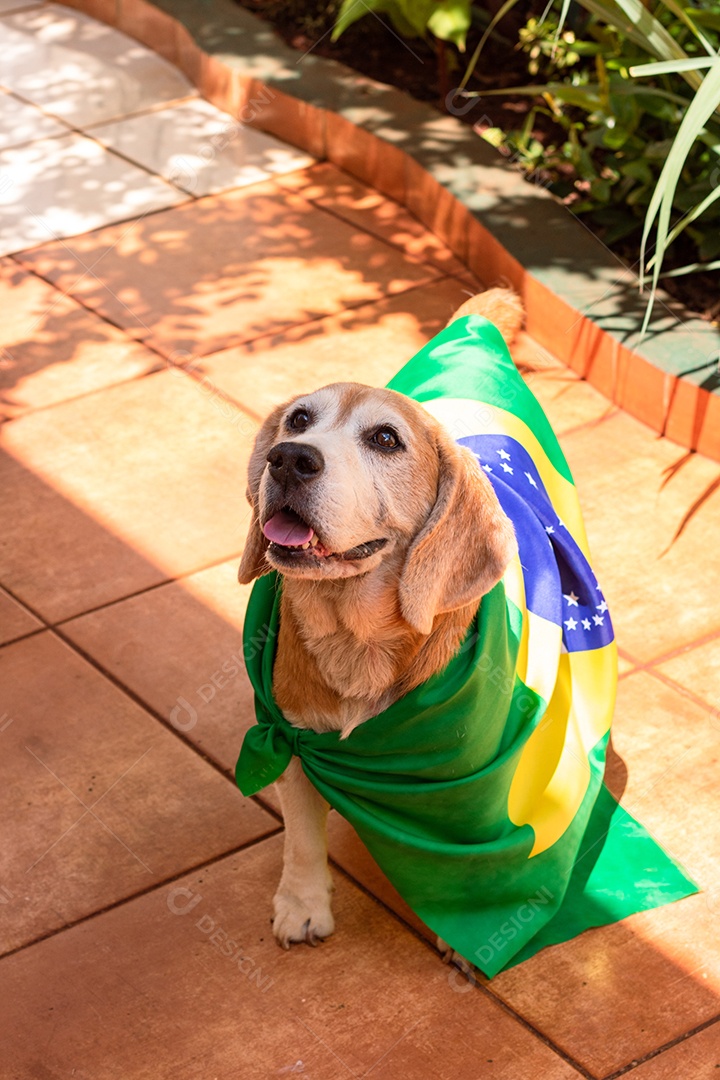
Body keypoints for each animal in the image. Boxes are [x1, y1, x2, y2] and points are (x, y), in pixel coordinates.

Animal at [241, 287, 524, 946]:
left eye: (386, 440)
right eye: (299, 420)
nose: (288, 459)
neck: (355, 640)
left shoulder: (470, 776)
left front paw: (467, 933)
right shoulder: (292, 739)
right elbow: (302, 840)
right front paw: (302, 902)